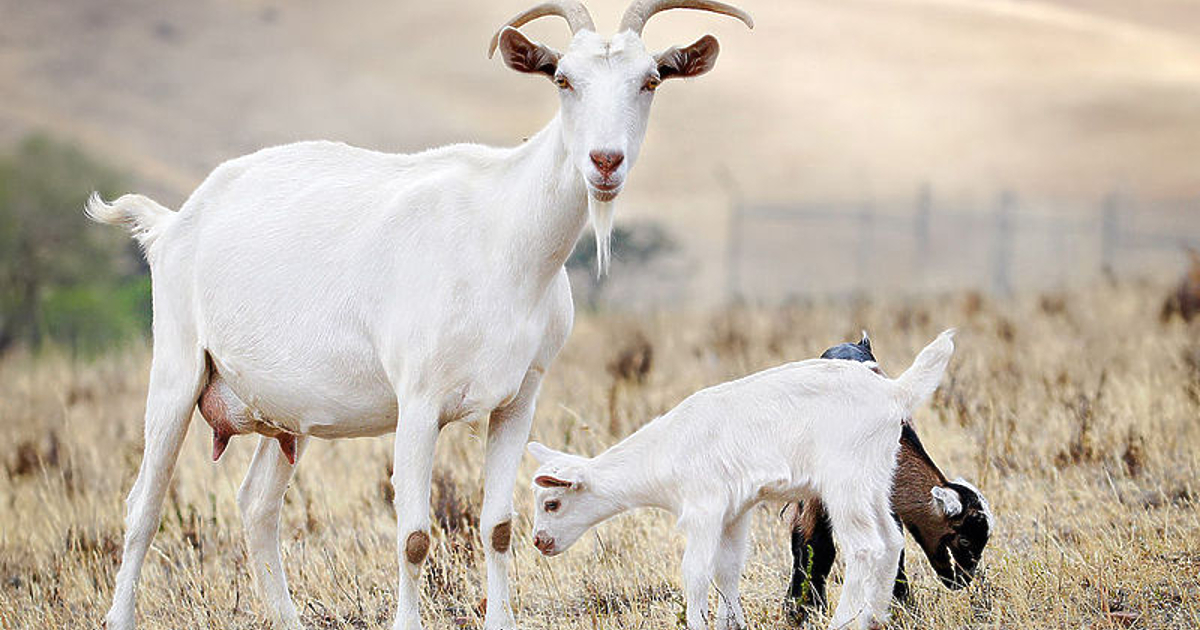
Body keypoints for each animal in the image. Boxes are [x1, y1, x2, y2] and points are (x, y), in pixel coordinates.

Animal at [87, 1, 748, 628]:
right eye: (563, 79)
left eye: (650, 81)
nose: (605, 161)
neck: (504, 238)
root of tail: (173, 223)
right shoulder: (419, 400)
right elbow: (413, 536)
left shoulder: (519, 398)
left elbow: (498, 526)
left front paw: (502, 620)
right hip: (177, 368)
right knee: (144, 503)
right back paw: (120, 617)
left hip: (285, 414)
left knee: (256, 506)